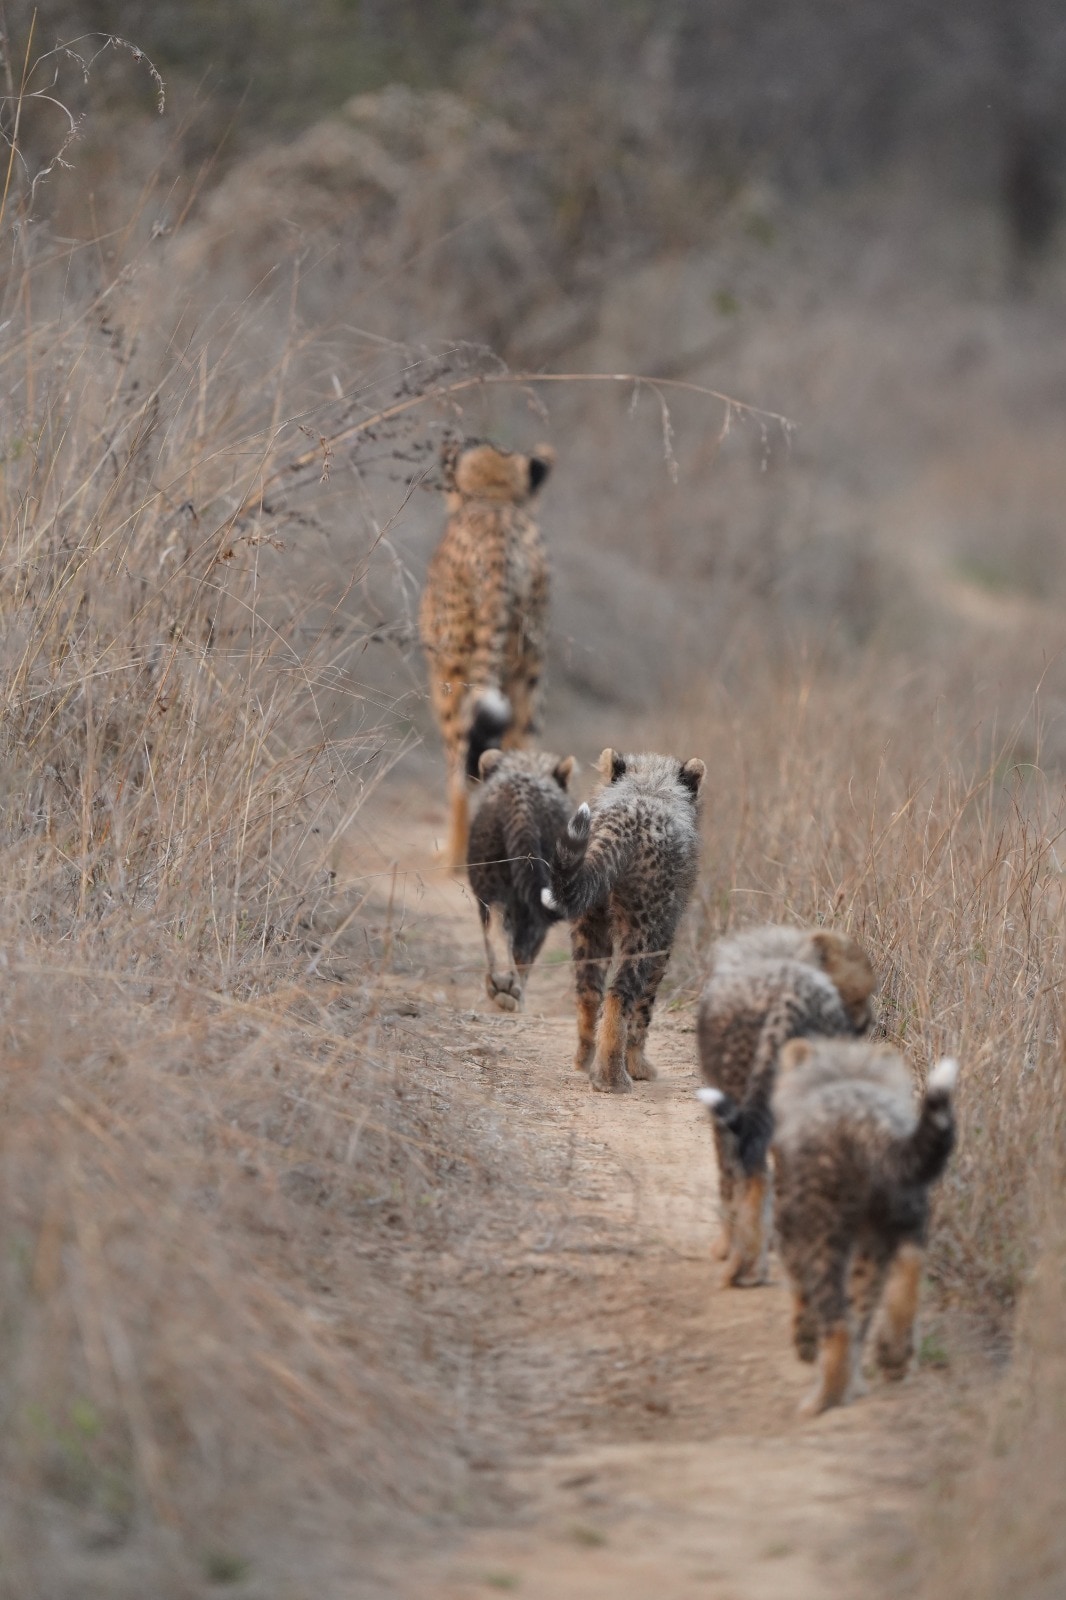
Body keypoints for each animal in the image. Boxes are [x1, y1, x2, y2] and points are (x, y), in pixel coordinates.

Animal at [418, 437, 554, 869]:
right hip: (527, 674)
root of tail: (498, 541)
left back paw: (455, 858)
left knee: (460, 763)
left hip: (457, 673)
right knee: (523, 753)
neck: (493, 499)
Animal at [466, 747, 576, 1012]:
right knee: (522, 943)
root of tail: (520, 794)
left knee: (496, 924)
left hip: (490, 879)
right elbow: (526, 950)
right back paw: (509, 989)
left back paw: (500, 982)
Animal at [543, 748, 705, 1094]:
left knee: (588, 990)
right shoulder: (663, 938)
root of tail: (623, 821)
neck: (648, 787)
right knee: (619, 993)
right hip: (642, 928)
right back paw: (612, 1077)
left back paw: (585, 1061)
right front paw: (639, 1065)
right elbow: (644, 1007)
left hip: (587, 919)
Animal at [695, 924, 877, 1288]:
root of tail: (789, 993)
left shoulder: (724, 1118)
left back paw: (743, 1267)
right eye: (862, 991)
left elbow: (728, 1185)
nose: (872, 1022)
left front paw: (724, 1248)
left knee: (755, 1180)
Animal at [764, 1038, 958, 1417]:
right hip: (900, 1218)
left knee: (839, 1322)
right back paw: (891, 1358)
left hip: (823, 1234)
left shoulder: (788, 1228)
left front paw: (805, 1341)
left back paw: (821, 1400)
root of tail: (869, 1120)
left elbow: (799, 1290)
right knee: (901, 1275)